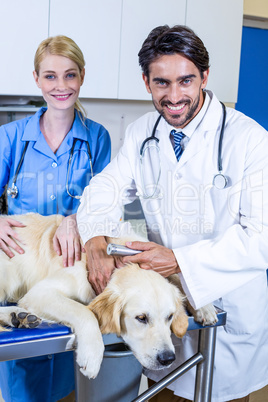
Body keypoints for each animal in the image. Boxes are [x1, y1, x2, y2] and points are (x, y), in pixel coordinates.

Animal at [0, 215, 218, 378]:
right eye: (141, 318)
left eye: (170, 317)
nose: (167, 359)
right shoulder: (40, 292)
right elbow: (84, 312)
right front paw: (92, 355)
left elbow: (179, 276)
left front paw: (204, 307)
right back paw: (17, 315)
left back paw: (19, 318)